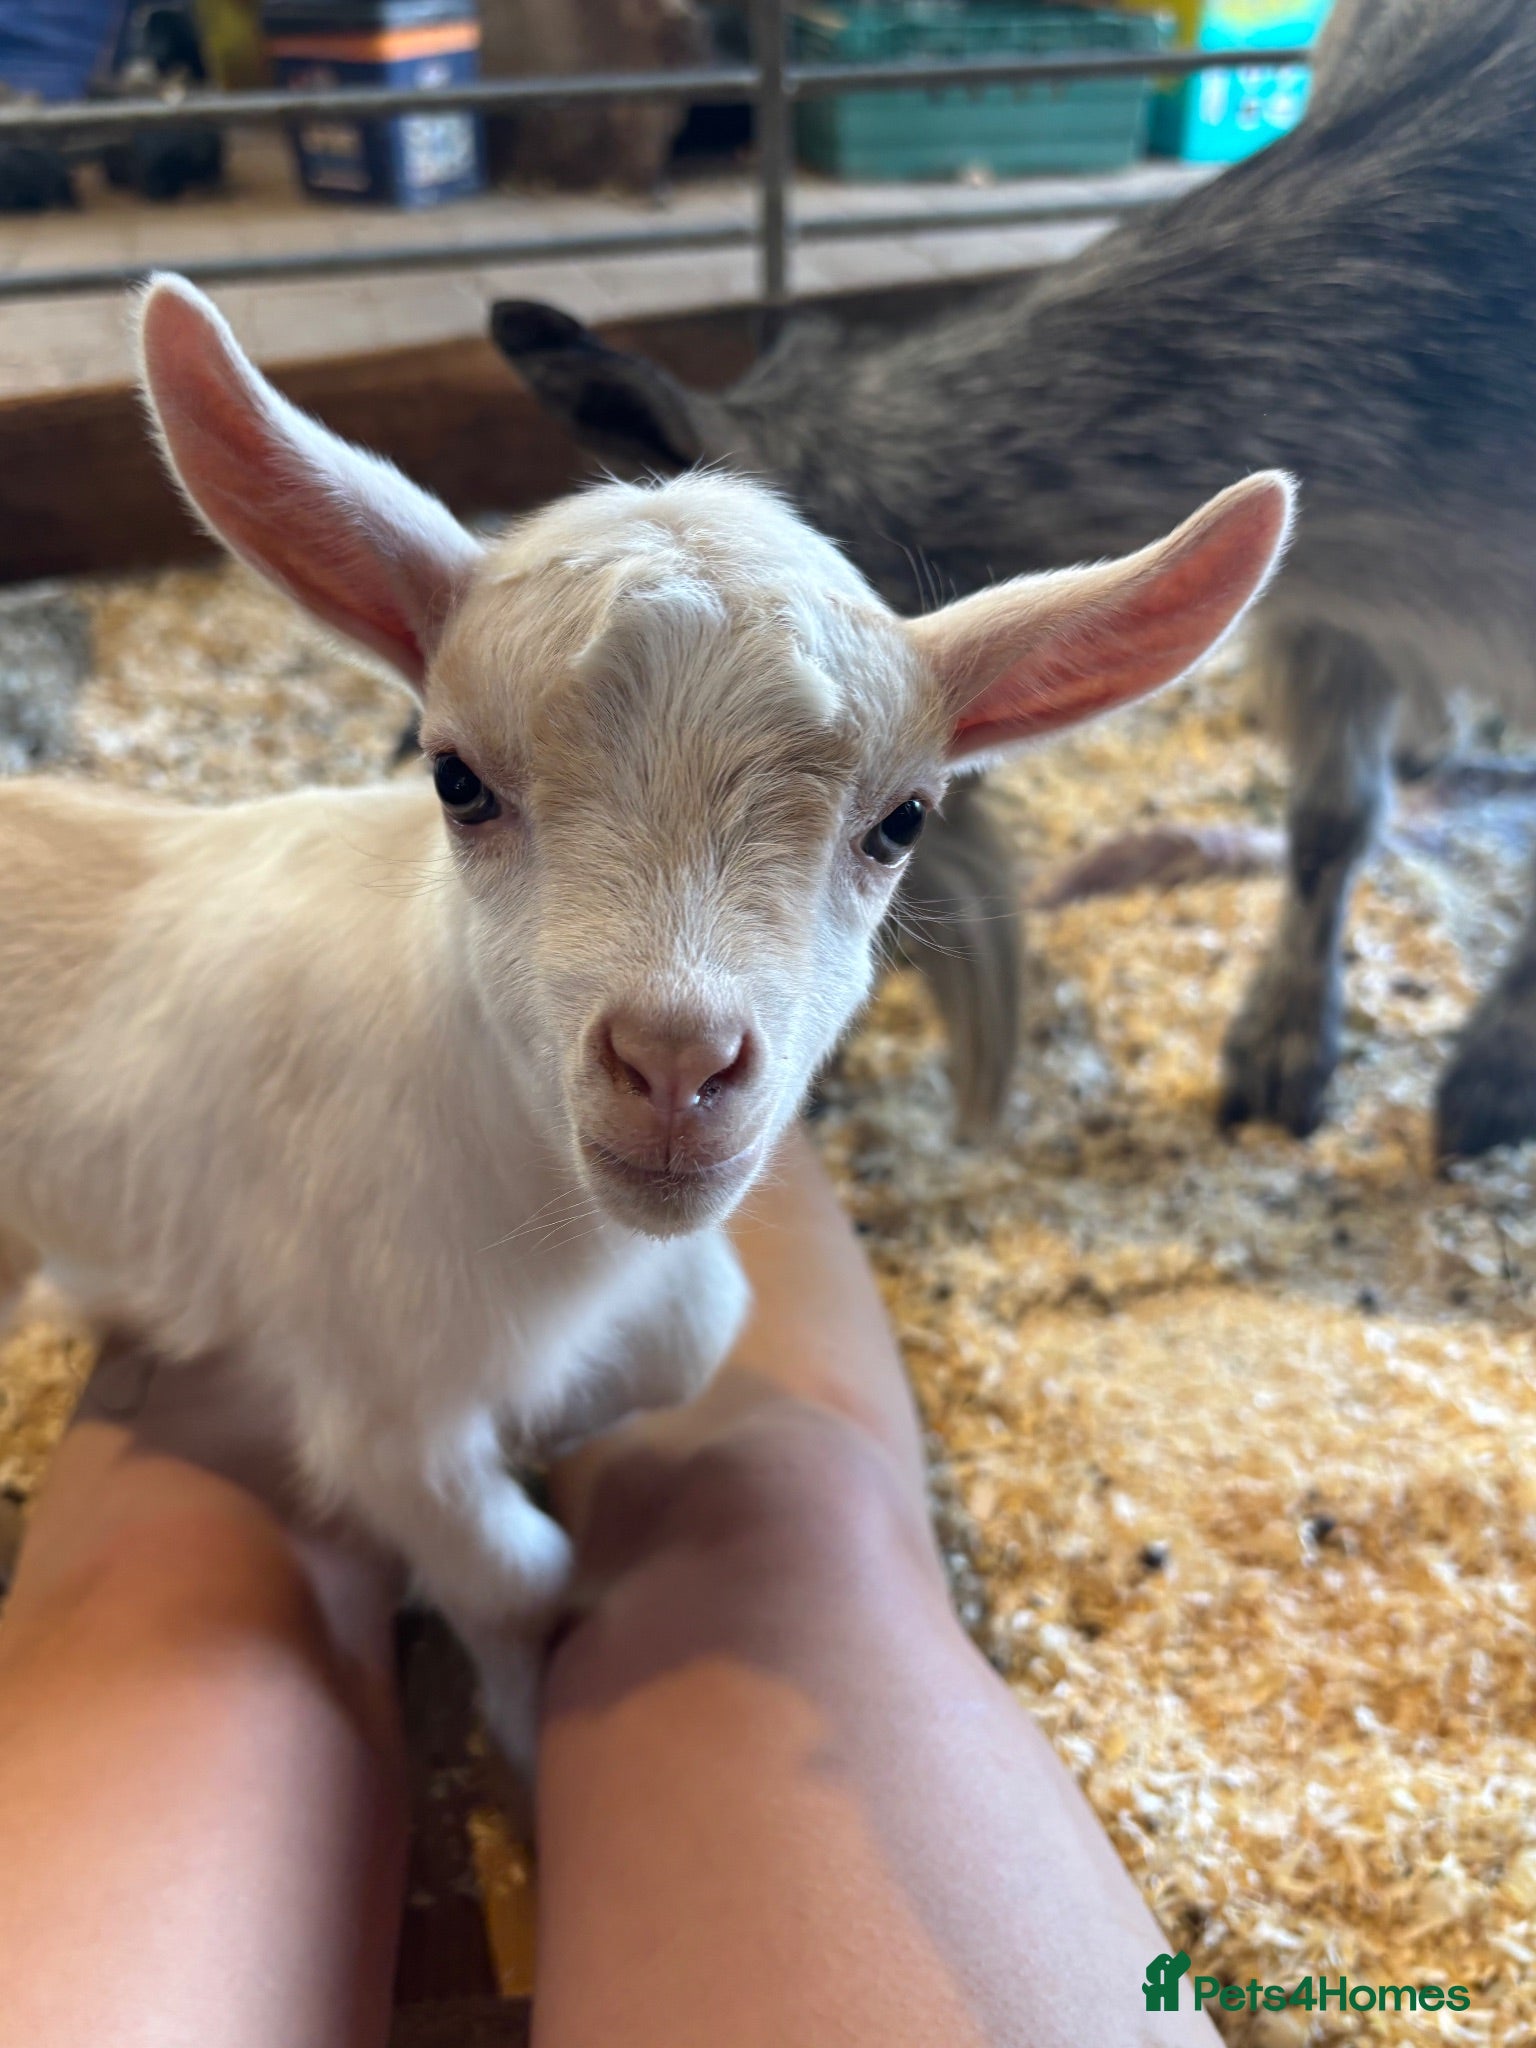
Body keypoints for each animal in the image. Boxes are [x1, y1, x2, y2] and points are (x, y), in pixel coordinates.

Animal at [0, 275, 1290, 1771]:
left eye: (903, 821)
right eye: (456, 779)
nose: (674, 1064)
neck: (548, 1227)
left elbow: (694, 1334)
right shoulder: (382, 1395)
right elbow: (516, 1568)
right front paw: (519, 1728)